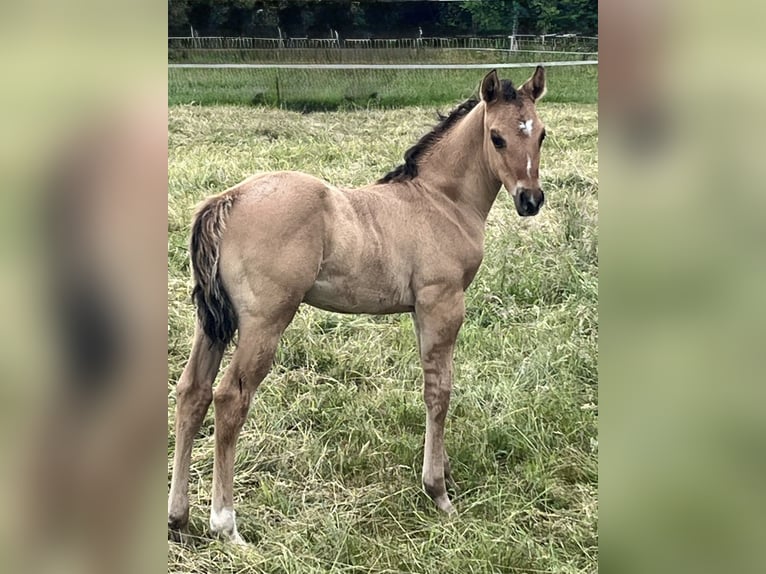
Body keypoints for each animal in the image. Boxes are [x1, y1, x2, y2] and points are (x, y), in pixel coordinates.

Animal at [168, 67, 548, 544]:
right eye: (496, 137)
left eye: (542, 134)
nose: (530, 200)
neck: (439, 200)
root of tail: (228, 199)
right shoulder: (442, 303)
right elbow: (439, 391)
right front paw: (438, 493)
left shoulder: (421, 310)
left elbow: (434, 385)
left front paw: (442, 476)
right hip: (264, 322)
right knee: (229, 398)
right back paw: (226, 525)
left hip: (213, 322)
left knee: (191, 392)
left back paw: (178, 518)